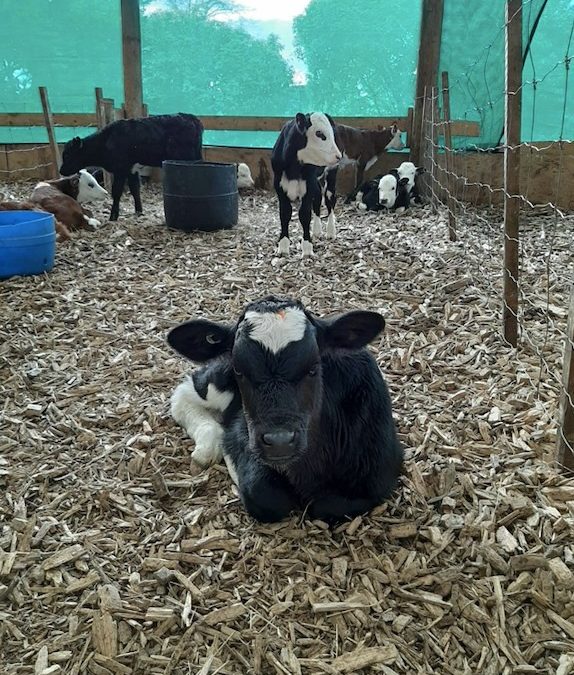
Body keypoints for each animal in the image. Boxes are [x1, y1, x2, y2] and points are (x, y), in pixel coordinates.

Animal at [60, 114, 205, 222]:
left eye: (67, 155)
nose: (61, 170)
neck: (106, 141)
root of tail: (192, 118)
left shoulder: (120, 169)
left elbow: (116, 192)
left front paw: (113, 216)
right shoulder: (132, 170)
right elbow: (135, 189)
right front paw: (139, 211)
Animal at [168, 294, 404, 524]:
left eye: (313, 368)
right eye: (239, 370)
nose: (279, 441)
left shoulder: (380, 474)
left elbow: (328, 505)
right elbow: (266, 497)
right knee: (183, 395)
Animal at [272, 113, 342, 256]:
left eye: (331, 133)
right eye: (319, 133)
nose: (338, 156)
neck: (293, 168)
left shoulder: (308, 185)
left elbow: (304, 215)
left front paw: (307, 248)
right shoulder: (279, 186)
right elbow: (284, 214)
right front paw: (283, 246)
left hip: (331, 173)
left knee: (329, 200)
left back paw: (331, 231)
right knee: (318, 198)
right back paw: (317, 230)